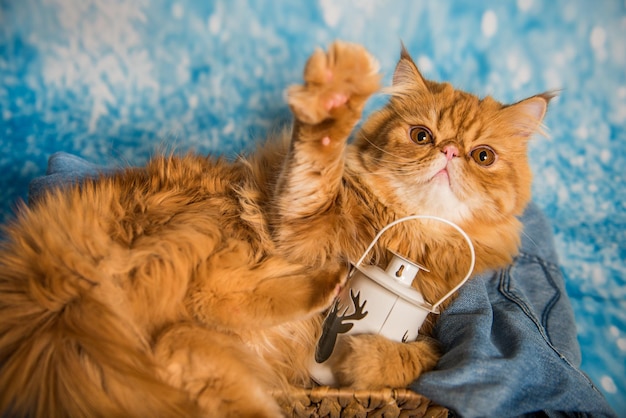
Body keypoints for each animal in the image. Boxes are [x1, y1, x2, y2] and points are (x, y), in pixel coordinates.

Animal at [0, 40, 544, 416]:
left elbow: (424, 357)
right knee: (213, 296)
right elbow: (314, 168)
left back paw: (326, 291)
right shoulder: (294, 226)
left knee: (200, 323)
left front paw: (362, 360)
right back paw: (328, 282)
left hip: (197, 347)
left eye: (482, 156)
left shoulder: (435, 320)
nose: (449, 153)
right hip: (209, 236)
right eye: (421, 136)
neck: (407, 232)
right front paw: (333, 101)